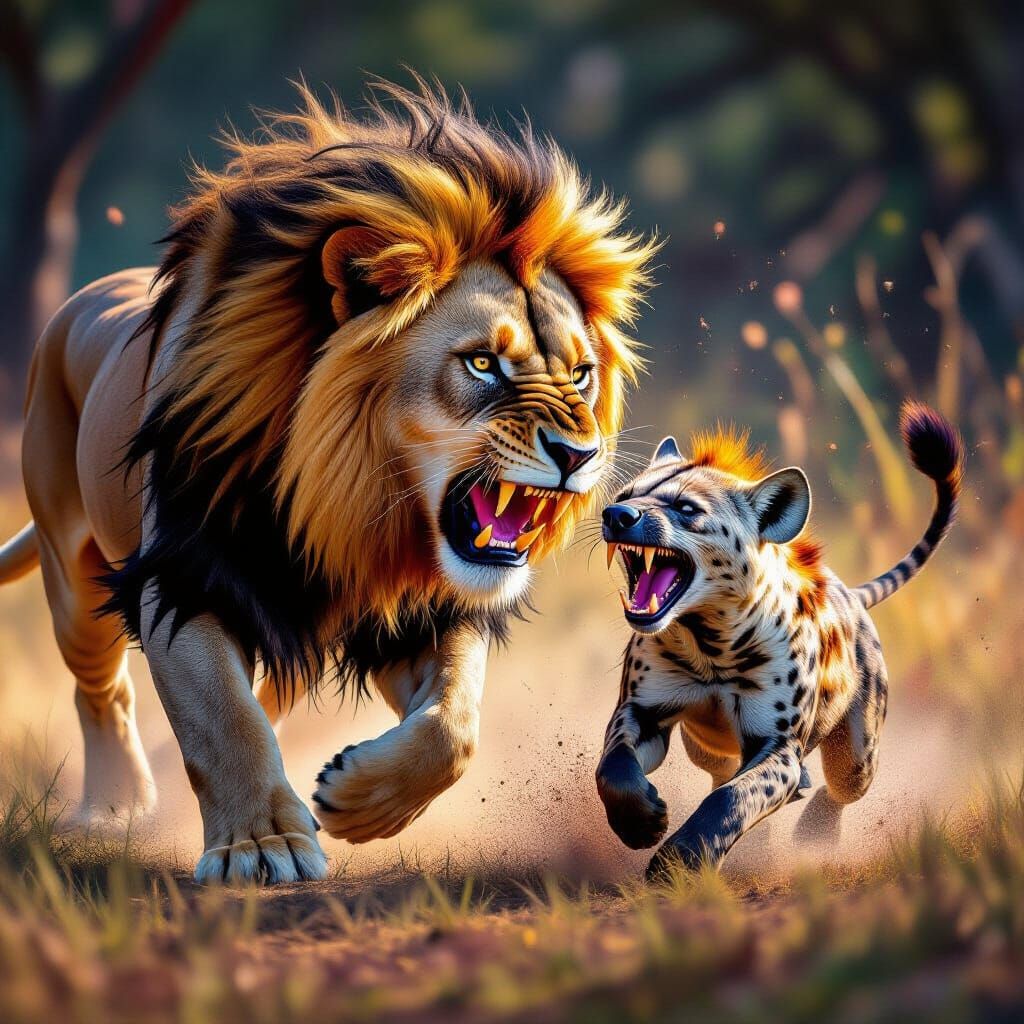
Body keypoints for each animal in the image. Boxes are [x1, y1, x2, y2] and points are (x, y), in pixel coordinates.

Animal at [0, 78, 656, 883]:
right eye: (481, 363)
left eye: (581, 373)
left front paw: (361, 800)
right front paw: (260, 845)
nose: (579, 453)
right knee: (105, 691)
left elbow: (454, 726)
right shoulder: (183, 579)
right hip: (72, 577)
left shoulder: (419, 615)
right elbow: (226, 718)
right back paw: (116, 807)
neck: (345, 495)